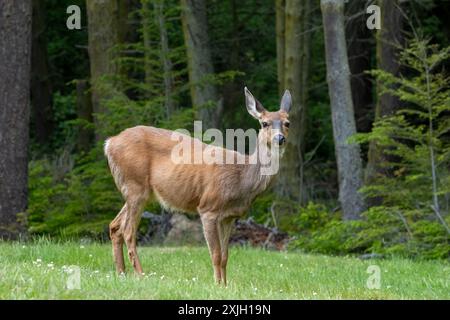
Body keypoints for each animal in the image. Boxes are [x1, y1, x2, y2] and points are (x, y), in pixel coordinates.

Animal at [104, 87, 292, 284]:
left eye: (287, 123)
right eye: (264, 123)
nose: (280, 139)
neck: (241, 178)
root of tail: (109, 143)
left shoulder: (229, 216)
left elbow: (225, 256)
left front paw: (225, 285)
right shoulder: (208, 208)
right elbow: (215, 255)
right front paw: (217, 285)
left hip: (139, 191)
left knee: (115, 226)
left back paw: (121, 273)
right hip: (135, 185)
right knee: (128, 230)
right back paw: (141, 275)